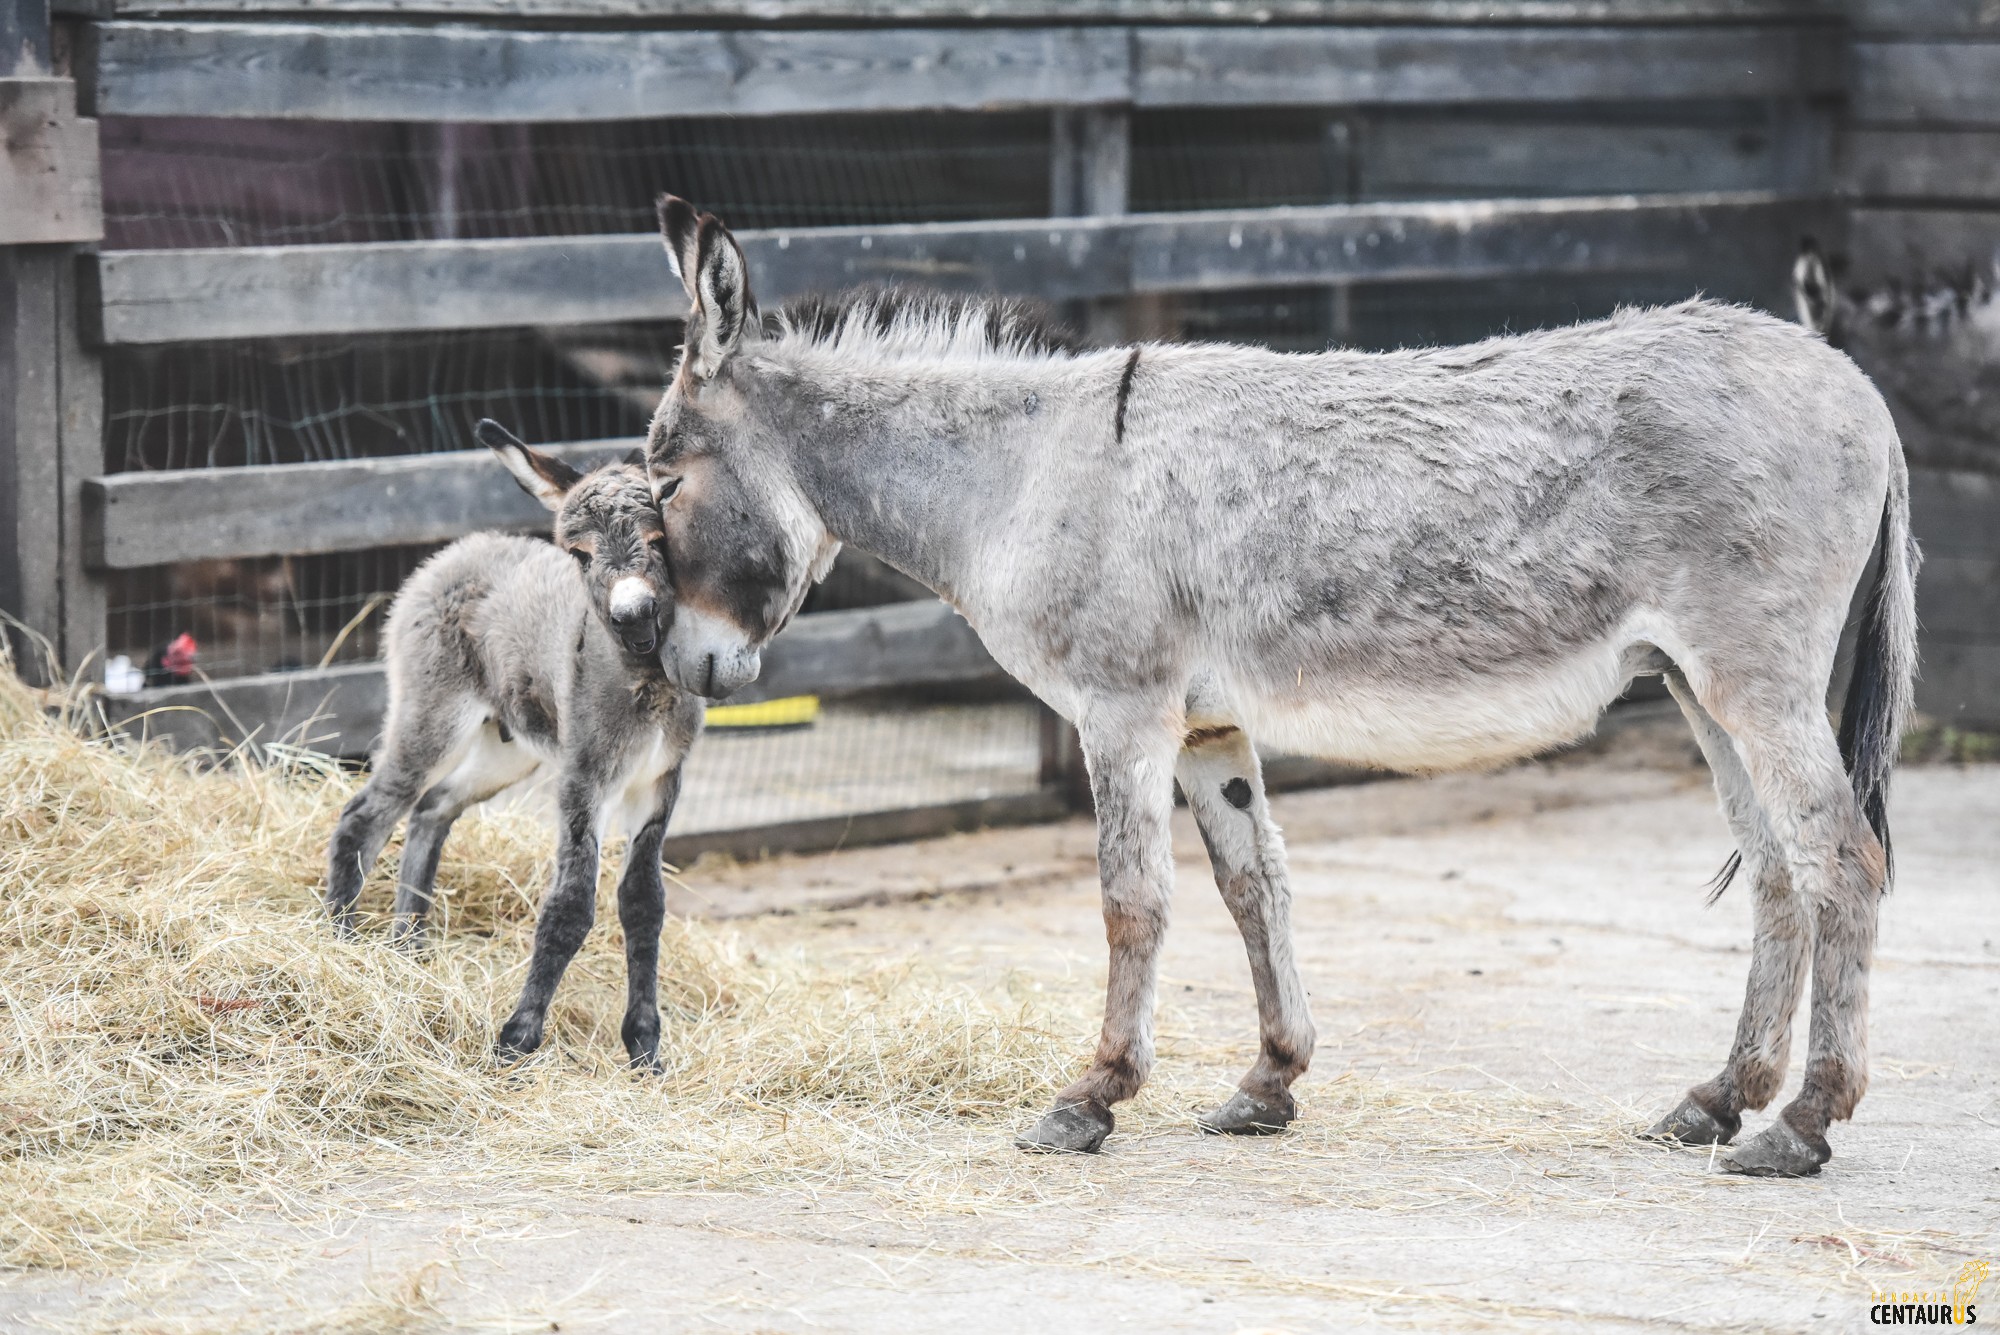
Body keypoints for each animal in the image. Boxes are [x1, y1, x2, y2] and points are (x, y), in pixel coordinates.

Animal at [328, 421, 704, 1071]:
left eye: (659, 540)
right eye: (579, 555)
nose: (633, 618)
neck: (645, 682)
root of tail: (459, 549)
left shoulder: (659, 781)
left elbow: (644, 903)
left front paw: (644, 1047)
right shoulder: (584, 779)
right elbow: (571, 905)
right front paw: (518, 1040)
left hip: (506, 750)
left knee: (431, 810)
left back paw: (408, 949)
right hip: (433, 717)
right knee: (368, 813)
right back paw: (341, 945)